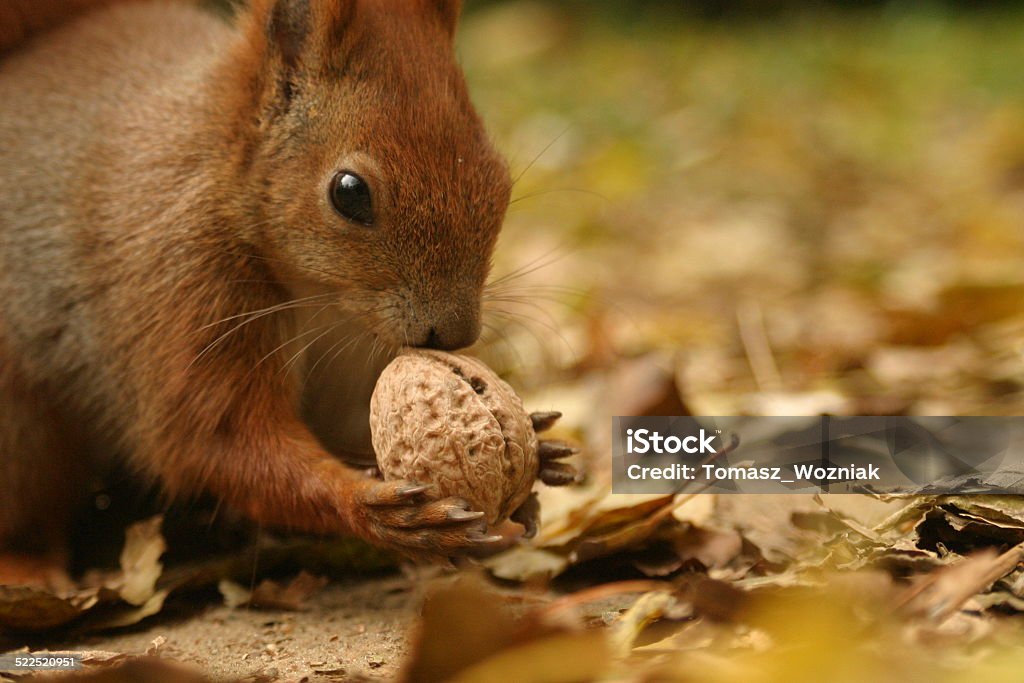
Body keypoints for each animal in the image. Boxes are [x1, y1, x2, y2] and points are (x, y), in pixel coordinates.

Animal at [0, 0, 552, 573]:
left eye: (498, 177)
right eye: (349, 192)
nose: (456, 333)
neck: (325, 300)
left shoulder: (359, 367)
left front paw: (540, 448)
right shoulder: (182, 286)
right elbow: (215, 440)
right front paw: (370, 507)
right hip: (20, 429)